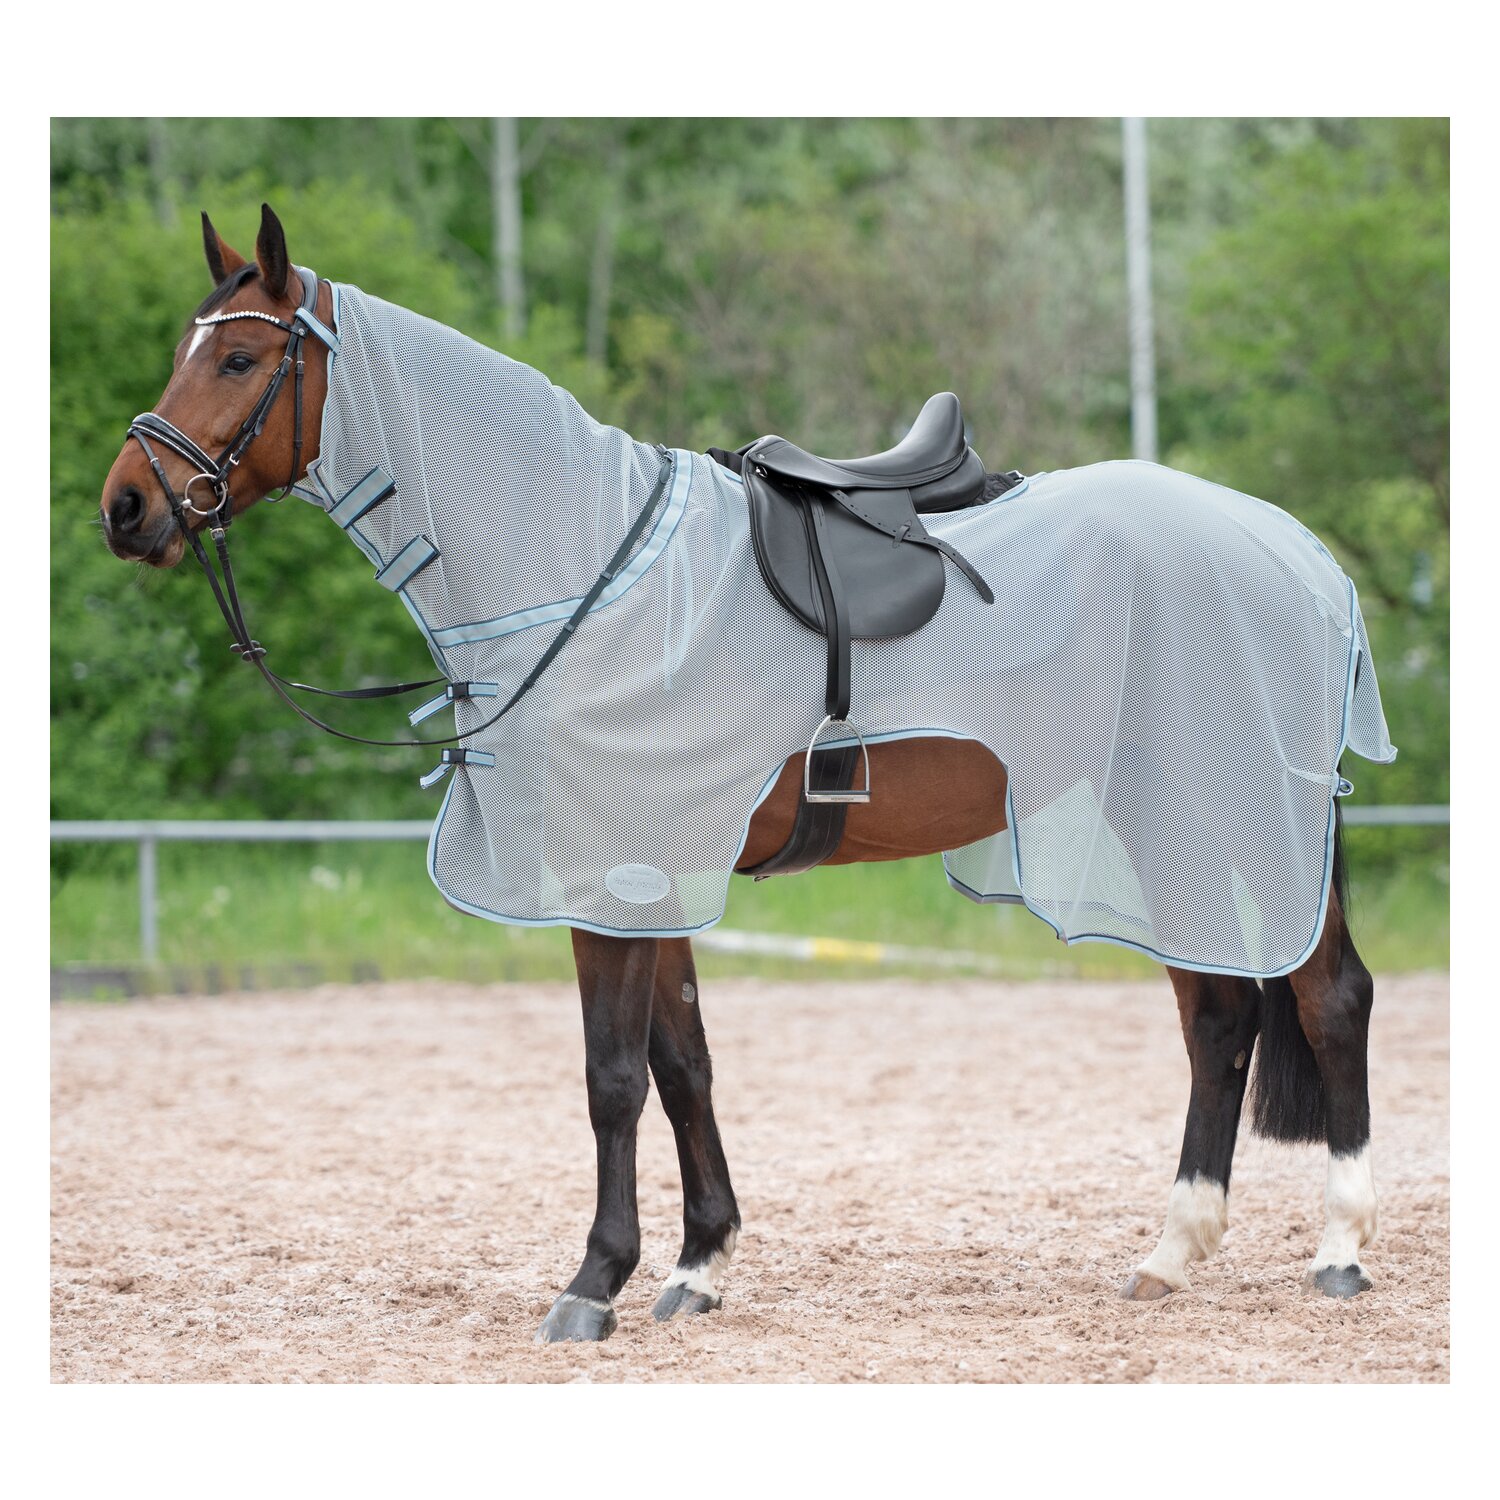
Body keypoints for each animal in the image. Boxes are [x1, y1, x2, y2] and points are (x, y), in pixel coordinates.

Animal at [97, 205, 1389, 1344]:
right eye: (183, 349)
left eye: (242, 356)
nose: (125, 507)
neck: (587, 572)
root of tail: (1301, 556)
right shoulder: (655, 877)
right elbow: (685, 1065)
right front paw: (697, 1265)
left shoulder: (613, 879)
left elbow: (613, 1076)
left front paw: (594, 1284)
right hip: (1164, 825)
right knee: (1219, 1016)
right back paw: (1170, 1254)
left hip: (1229, 817)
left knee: (1325, 1000)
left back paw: (1339, 1250)